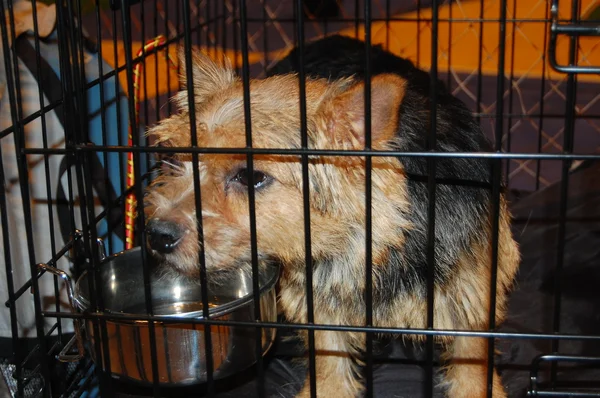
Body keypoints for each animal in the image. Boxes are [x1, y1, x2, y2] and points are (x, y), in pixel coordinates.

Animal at [142, 35, 520, 398]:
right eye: (176, 160)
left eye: (251, 177)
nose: (157, 234)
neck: (383, 247)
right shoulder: (318, 301)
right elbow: (327, 355)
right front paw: (327, 389)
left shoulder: (470, 294)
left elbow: (472, 360)